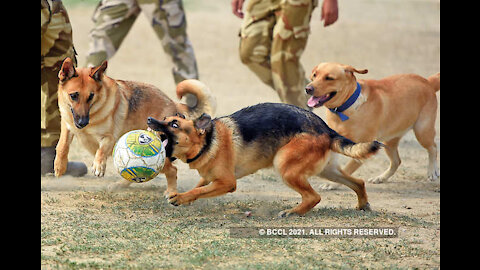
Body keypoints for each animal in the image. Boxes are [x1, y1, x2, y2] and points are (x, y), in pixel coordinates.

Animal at [54, 58, 216, 192]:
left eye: (91, 96)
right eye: (73, 96)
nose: (82, 123)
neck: (92, 115)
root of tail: (173, 104)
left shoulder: (109, 138)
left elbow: (101, 151)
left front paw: (99, 166)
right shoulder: (67, 125)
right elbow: (62, 145)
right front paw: (59, 166)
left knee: (172, 171)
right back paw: (119, 185)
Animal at [147, 98, 382, 216]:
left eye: (174, 124)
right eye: (165, 118)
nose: (149, 119)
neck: (208, 142)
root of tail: (324, 127)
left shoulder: (227, 182)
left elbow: (199, 189)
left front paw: (180, 198)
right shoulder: (210, 177)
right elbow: (199, 186)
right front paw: (185, 198)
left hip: (284, 164)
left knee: (314, 197)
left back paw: (293, 212)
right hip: (328, 170)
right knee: (358, 182)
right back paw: (363, 205)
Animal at [308, 62, 438, 186]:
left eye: (329, 78)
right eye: (314, 75)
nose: (307, 89)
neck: (346, 107)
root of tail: (428, 81)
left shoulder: (362, 149)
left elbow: (346, 170)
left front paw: (331, 184)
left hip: (422, 132)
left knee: (433, 148)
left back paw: (432, 171)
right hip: (389, 141)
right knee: (396, 161)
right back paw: (380, 178)